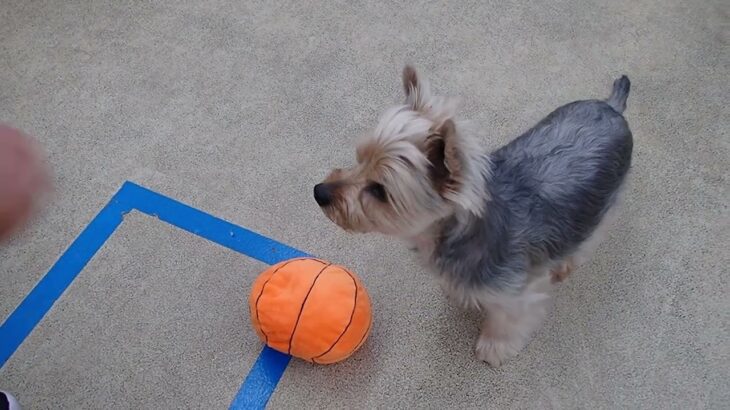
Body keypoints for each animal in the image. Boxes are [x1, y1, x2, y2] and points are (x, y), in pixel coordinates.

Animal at [312, 66, 632, 366]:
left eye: (379, 190)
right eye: (359, 159)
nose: (319, 192)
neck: (451, 234)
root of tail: (611, 106)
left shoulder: (515, 296)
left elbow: (506, 323)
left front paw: (494, 347)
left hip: (606, 206)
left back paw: (566, 263)